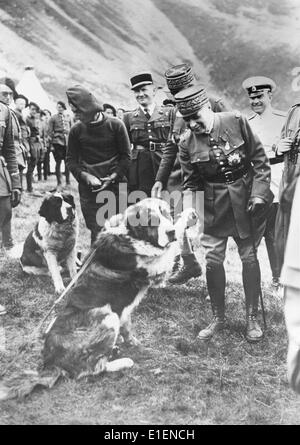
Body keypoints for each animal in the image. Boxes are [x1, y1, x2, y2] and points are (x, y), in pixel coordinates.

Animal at [0, 198, 198, 398]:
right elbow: (173, 242)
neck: (131, 236)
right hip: (107, 315)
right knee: (94, 368)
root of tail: (51, 362)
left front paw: (132, 341)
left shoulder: (124, 310)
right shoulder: (155, 265)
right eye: (150, 220)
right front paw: (186, 216)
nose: (169, 232)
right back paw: (123, 361)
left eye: (165, 214)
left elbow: (127, 327)